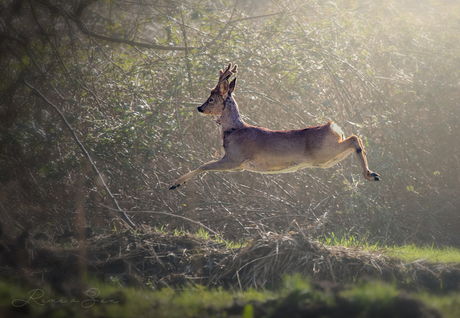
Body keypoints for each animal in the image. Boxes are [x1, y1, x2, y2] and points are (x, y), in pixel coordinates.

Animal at [168, 63, 378, 190]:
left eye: (211, 99)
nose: (200, 108)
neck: (233, 130)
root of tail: (333, 127)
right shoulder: (238, 166)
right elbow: (205, 165)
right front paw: (177, 183)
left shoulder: (235, 159)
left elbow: (203, 165)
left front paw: (176, 183)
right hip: (326, 159)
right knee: (354, 142)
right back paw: (372, 175)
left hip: (323, 153)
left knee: (355, 139)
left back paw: (371, 174)